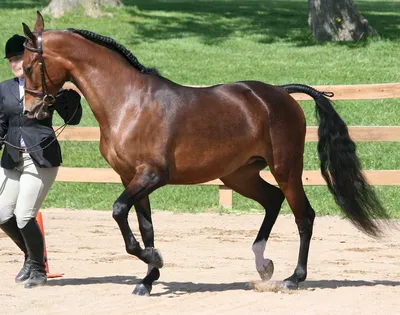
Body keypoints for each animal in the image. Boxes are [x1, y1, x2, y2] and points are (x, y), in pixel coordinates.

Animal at [21, 12, 388, 298]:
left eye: (28, 66)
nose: (30, 110)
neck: (128, 102)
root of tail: (280, 94)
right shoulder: (131, 178)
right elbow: (145, 226)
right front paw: (149, 276)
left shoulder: (151, 176)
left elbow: (118, 212)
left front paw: (154, 260)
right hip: (239, 174)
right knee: (272, 200)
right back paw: (263, 264)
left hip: (285, 169)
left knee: (304, 216)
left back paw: (293, 278)